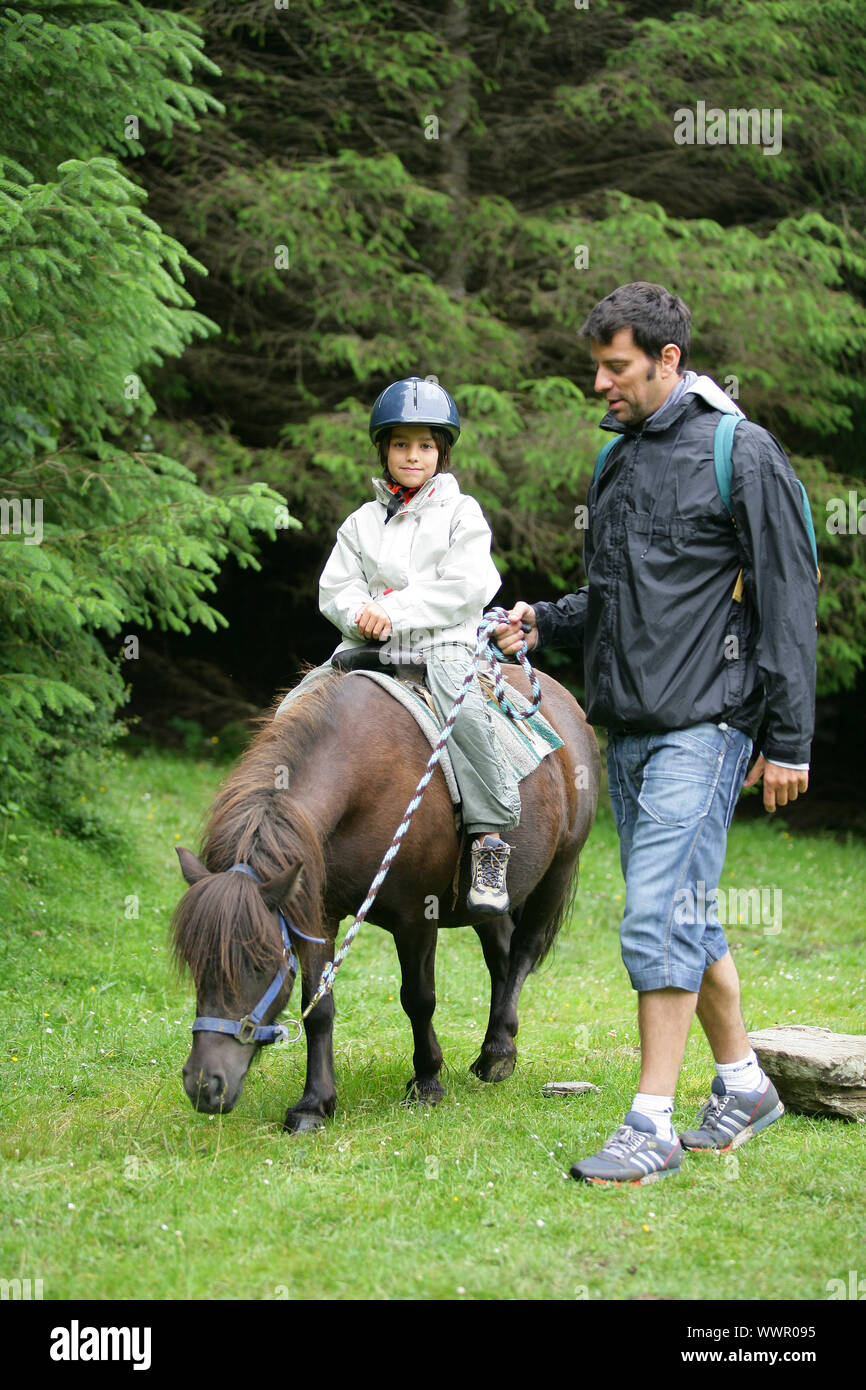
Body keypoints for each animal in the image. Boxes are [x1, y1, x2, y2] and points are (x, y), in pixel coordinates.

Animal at [173, 661, 600, 1128]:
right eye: (194, 963)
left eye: (259, 964)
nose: (204, 1084)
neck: (364, 780)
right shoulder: (317, 915)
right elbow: (318, 1006)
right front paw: (314, 1104)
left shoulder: (416, 917)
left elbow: (419, 999)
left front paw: (427, 1081)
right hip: (486, 904)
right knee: (501, 955)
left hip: (558, 870)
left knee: (523, 950)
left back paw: (498, 1054)